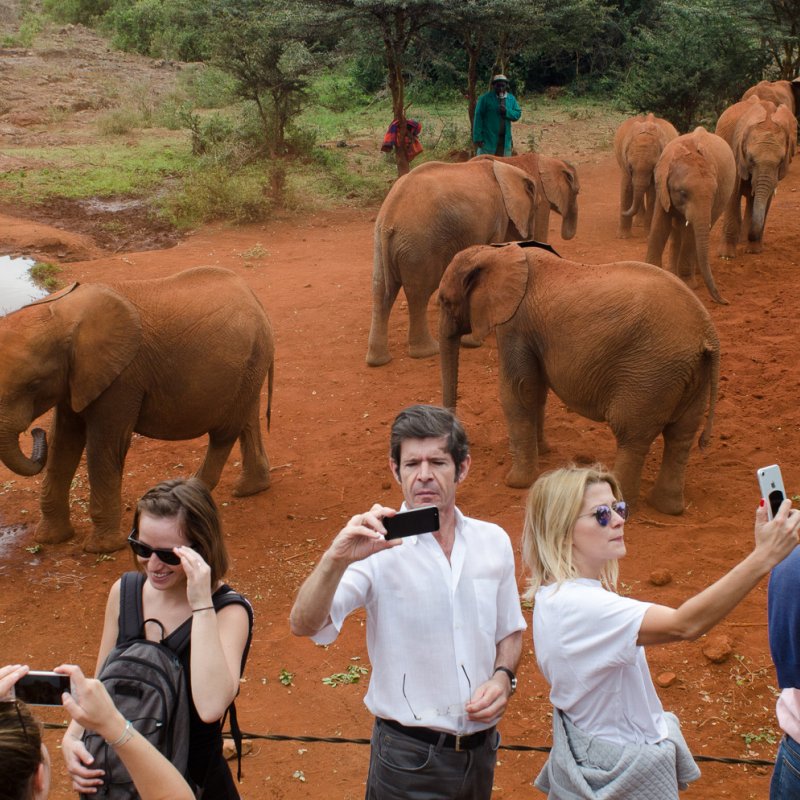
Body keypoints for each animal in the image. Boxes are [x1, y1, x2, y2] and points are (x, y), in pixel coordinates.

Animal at [0, 266, 276, 552]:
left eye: (33, 385)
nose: (36, 432)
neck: (60, 315)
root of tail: (254, 297)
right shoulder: (75, 379)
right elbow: (62, 443)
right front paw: (50, 539)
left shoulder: (122, 378)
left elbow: (103, 447)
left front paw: (102, 548)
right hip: (250, 365)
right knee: (247, 420)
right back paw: (251, 489)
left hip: (250, 359)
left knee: (225, 432)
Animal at [366, 155, 536, 366]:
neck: (503, 167)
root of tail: (389, 217)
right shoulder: (498, 216)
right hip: (418, 245)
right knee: (418, 292)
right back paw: (428, 351)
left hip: (383, 243)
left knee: (380, 290)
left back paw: (378, 361)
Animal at [440, 241, 720, 516]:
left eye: (444, 300)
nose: (463, 443)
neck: (496, 251)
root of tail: (707, 333)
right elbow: (536, 392)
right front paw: (544, 451)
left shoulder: (515, 325)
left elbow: (517, 393)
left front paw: (516, 483)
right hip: (689, 375)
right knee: (681, 436)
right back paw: (667, 507)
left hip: (651, 372)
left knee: (632, 435)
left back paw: (622, 501)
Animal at [648, 126, 736, 304]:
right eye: (683, 193)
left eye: (714, 194)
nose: (726, 301)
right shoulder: (662, 187)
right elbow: (660, 225)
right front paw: (650, 271)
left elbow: (690, 233)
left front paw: (688, 284)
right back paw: (672, 272)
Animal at [716, 94, 796, 258]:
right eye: (751, 159)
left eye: (780, 161)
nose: (752, 237)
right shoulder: (735, 152)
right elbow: (733, 195)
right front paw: (726, 256)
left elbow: (767, 197)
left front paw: (754, 251)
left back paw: (743, 240)